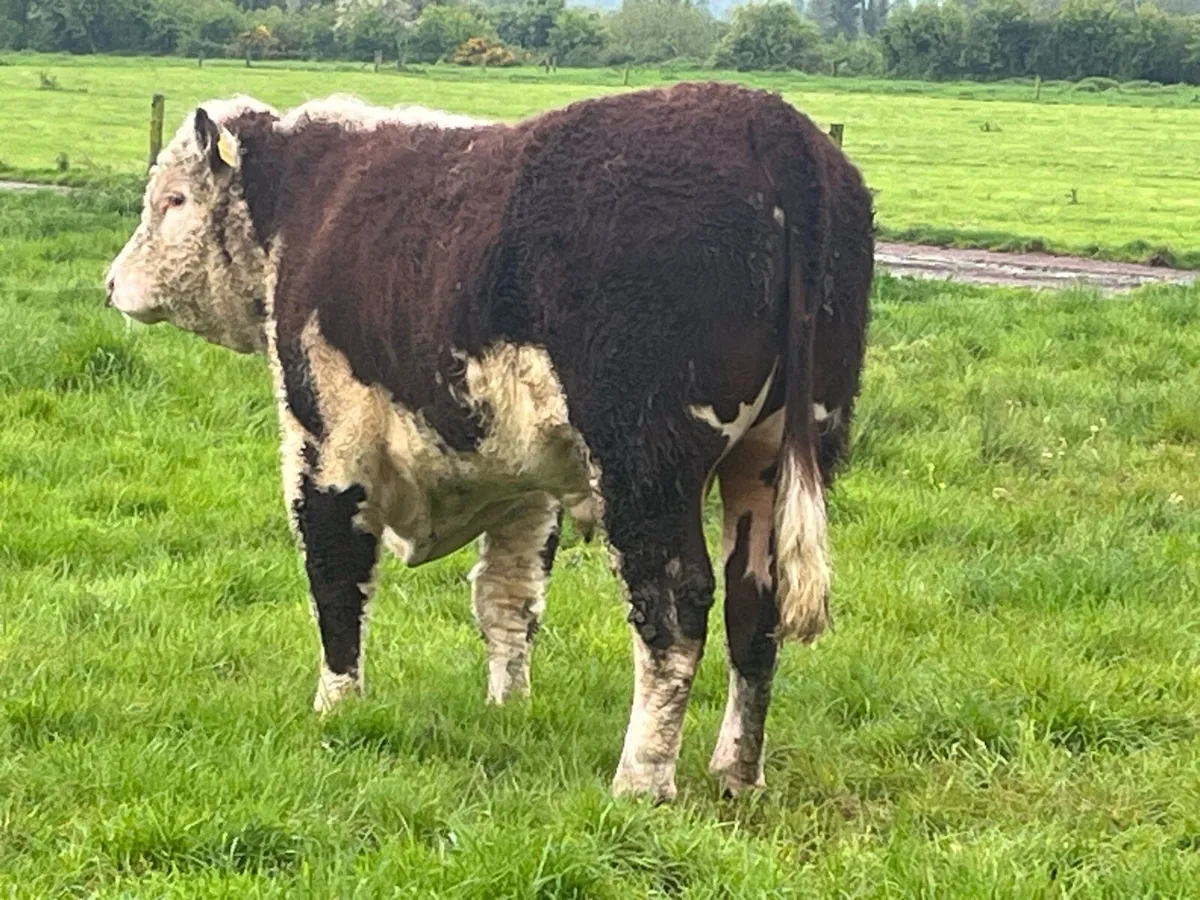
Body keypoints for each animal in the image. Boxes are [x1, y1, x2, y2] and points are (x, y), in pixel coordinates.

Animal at [105, 83, 874, 802]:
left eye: (174, 199)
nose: (112, 283)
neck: (307, 204)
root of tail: (769, 121)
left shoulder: (327, 445)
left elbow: (335, 579)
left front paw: (335, 708)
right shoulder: (525, 486)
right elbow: (509, 599)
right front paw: (509, 709)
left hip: (649, 462)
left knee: (674, 605)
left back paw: (642, 781)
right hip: (773, 456)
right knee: (755, 605)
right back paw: (736, 771)